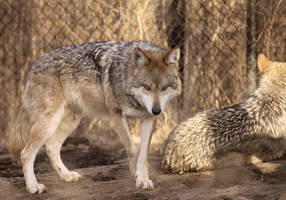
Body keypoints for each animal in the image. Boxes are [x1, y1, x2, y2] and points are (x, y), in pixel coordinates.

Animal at [10, 41, 182, 194]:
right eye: (147, 88)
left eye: (164, 88)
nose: (156, 110)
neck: (124, 73)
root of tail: (34, 64)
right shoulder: (116, 116)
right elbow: (133, 150)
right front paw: (136, 176)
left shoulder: (147, 119)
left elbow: (143, 154)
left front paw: (143, 179)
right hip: (49, 123)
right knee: (25, 154)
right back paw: (33, 187)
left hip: (70, 122)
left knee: (51, 147)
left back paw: (66, 175)